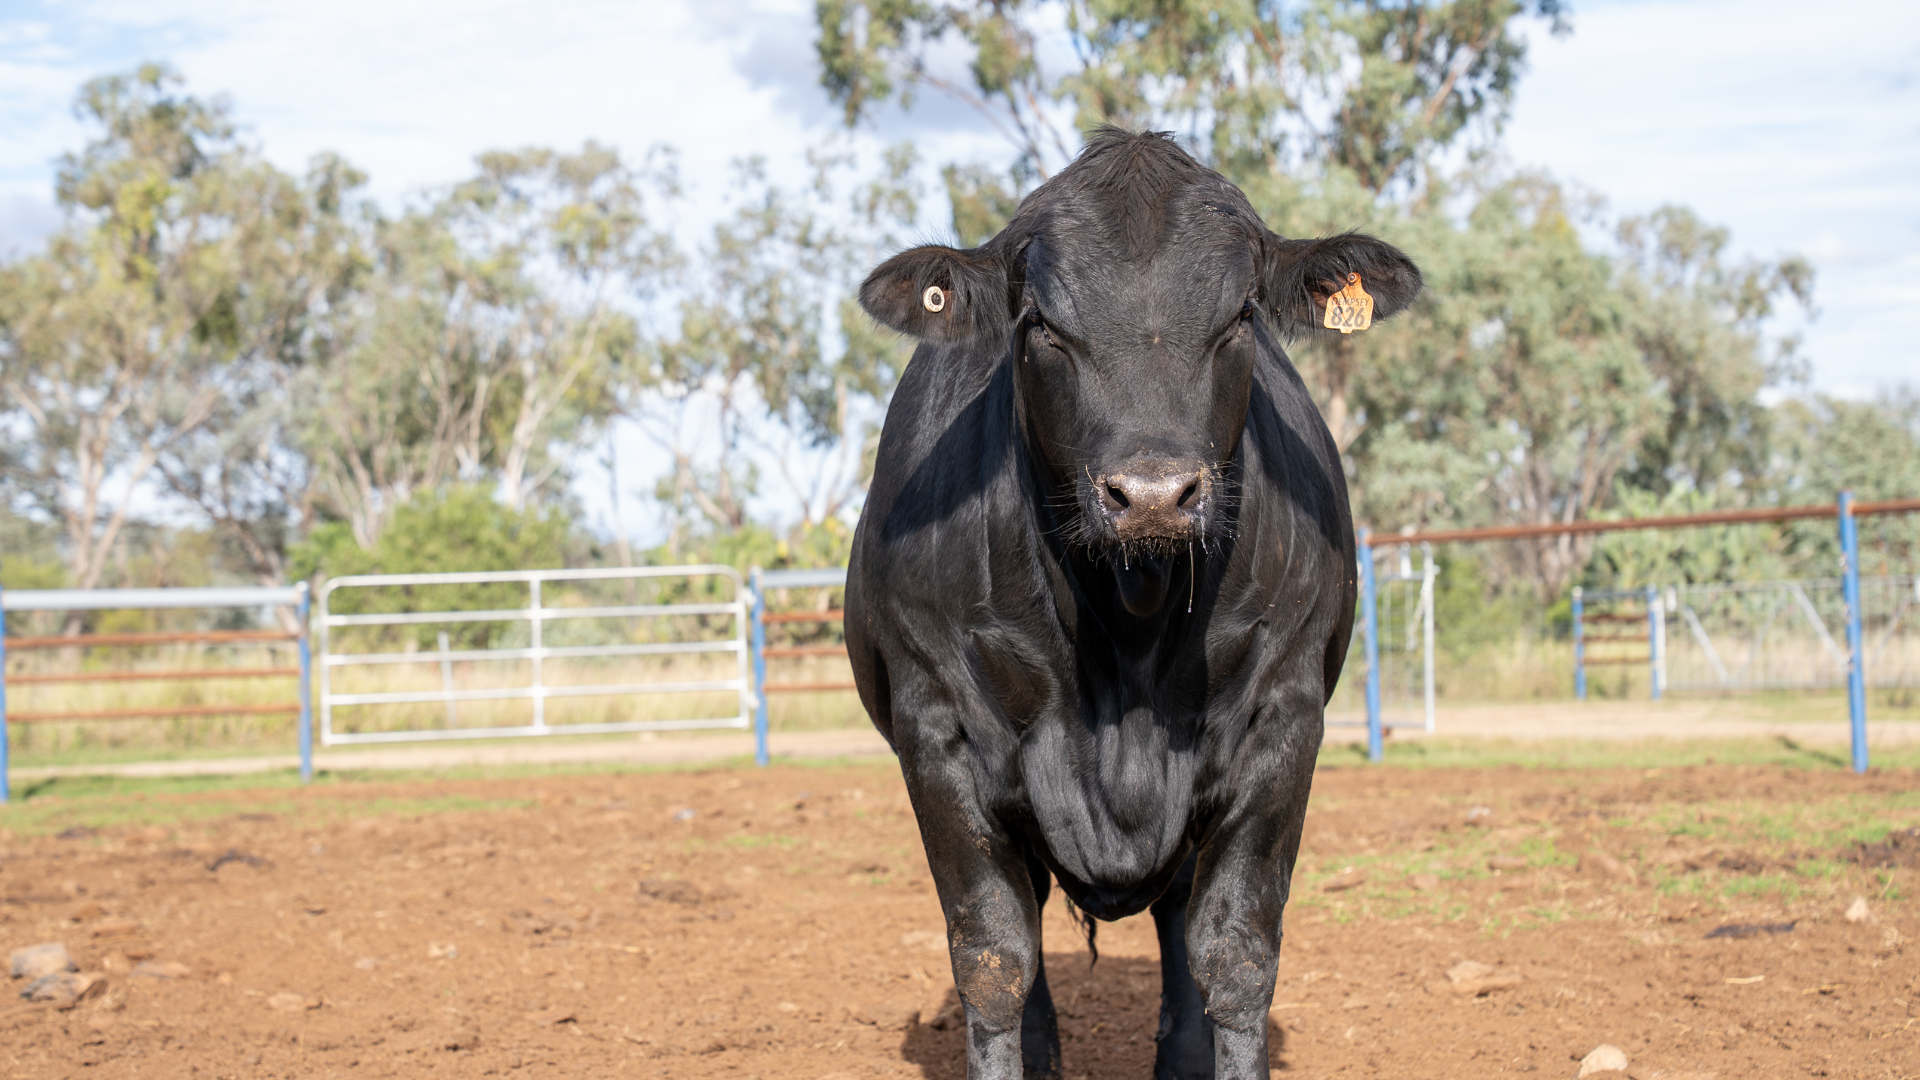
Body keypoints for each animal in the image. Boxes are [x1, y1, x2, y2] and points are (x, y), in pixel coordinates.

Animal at [843, 128, 1422, 1080]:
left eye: (1241, 316)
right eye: (1040, 324)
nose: (1152, 495)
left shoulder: (1283, 717)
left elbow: (1237, 954)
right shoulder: (936, 728)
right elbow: (993, 956)